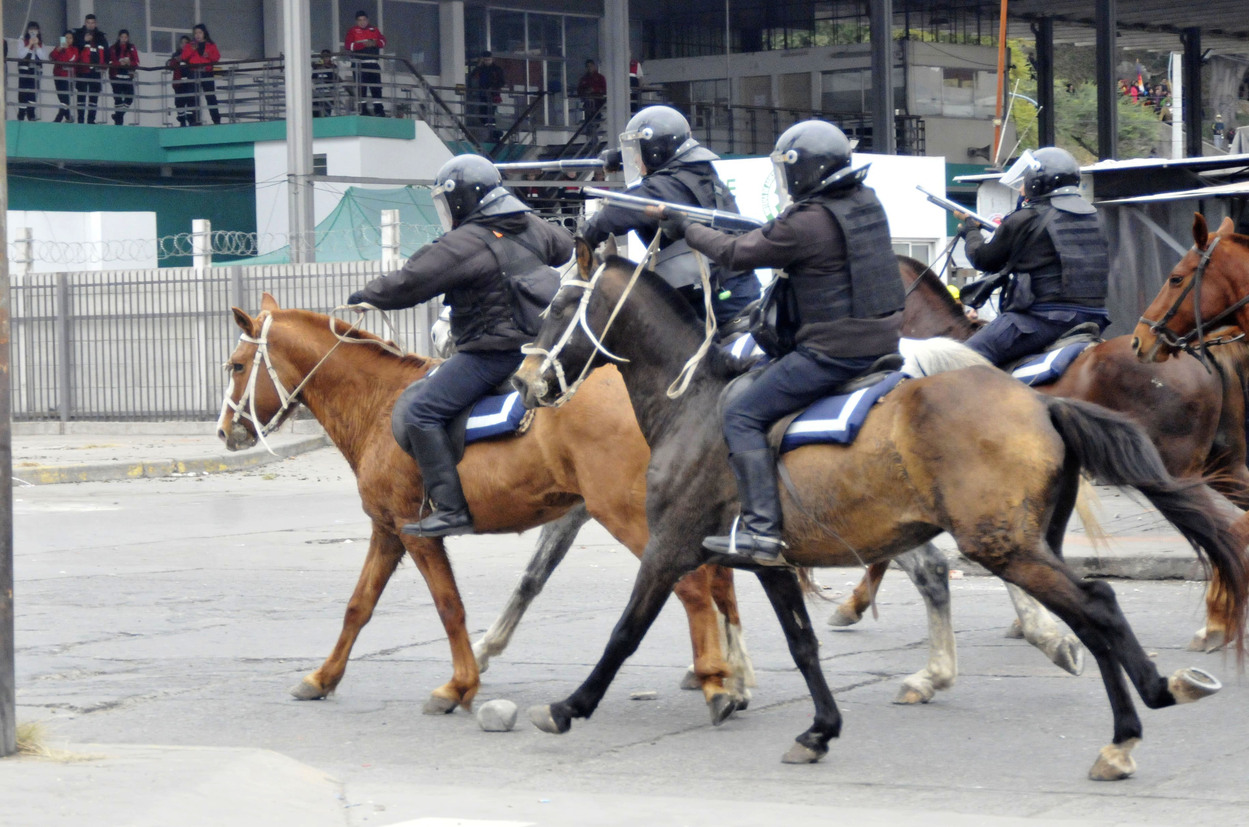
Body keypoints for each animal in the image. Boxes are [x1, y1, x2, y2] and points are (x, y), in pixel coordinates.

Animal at [217, 294, 749, 724]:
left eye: (237, 366)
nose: (225, 431)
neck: (380, 404)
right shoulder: (387, 532)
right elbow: (358, 606)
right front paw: (323, 678)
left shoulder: (415, 532)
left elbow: (449, 606)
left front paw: (458, 686)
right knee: (716, 582)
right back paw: (730, 677)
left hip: (628, 515)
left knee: (694, 587)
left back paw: (715, 680)